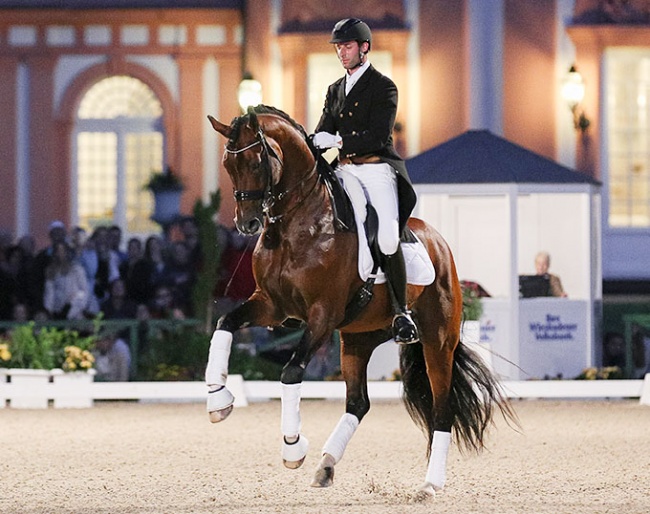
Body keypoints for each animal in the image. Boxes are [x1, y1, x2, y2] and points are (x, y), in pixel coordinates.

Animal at [205, 104, 512, 492]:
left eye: (258, 161)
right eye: (228, 165)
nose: (247, 224)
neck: (298, 225)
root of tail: (438, 242)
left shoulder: (322, 315)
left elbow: (291, 372)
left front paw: (293, 446)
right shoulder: (272, 306)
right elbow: (225, 322)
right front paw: (218, 399)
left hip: (438, 340)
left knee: (442, 409)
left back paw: (430, 485)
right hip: (357, 338)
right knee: (358, 403)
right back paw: (326, 464)